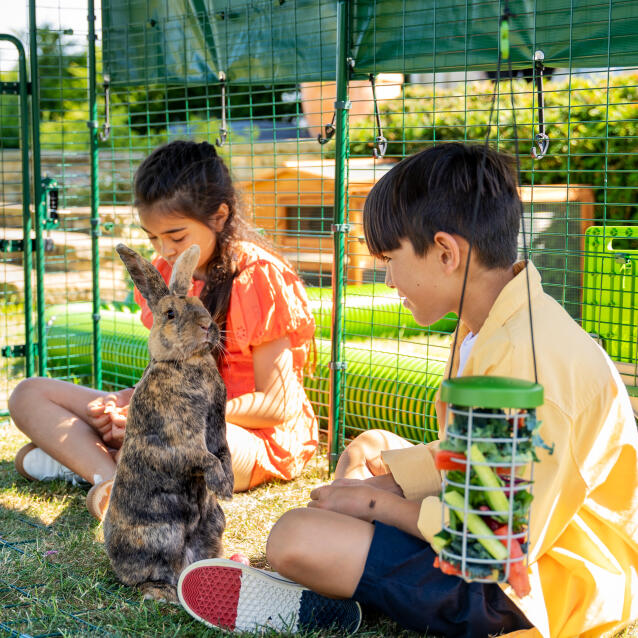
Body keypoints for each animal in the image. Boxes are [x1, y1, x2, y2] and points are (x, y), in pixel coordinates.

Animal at [105, 242, 235, 604]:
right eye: (170, 314)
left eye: (202, 305)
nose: (207, 325)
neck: (187, 361)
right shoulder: (180, 443)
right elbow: (204, 458)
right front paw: (223, 486)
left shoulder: (217, 430)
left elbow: (223, 453)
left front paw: (230, 483)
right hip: (162, 535)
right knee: (148, 575)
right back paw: (162, 593)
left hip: (213, 524)